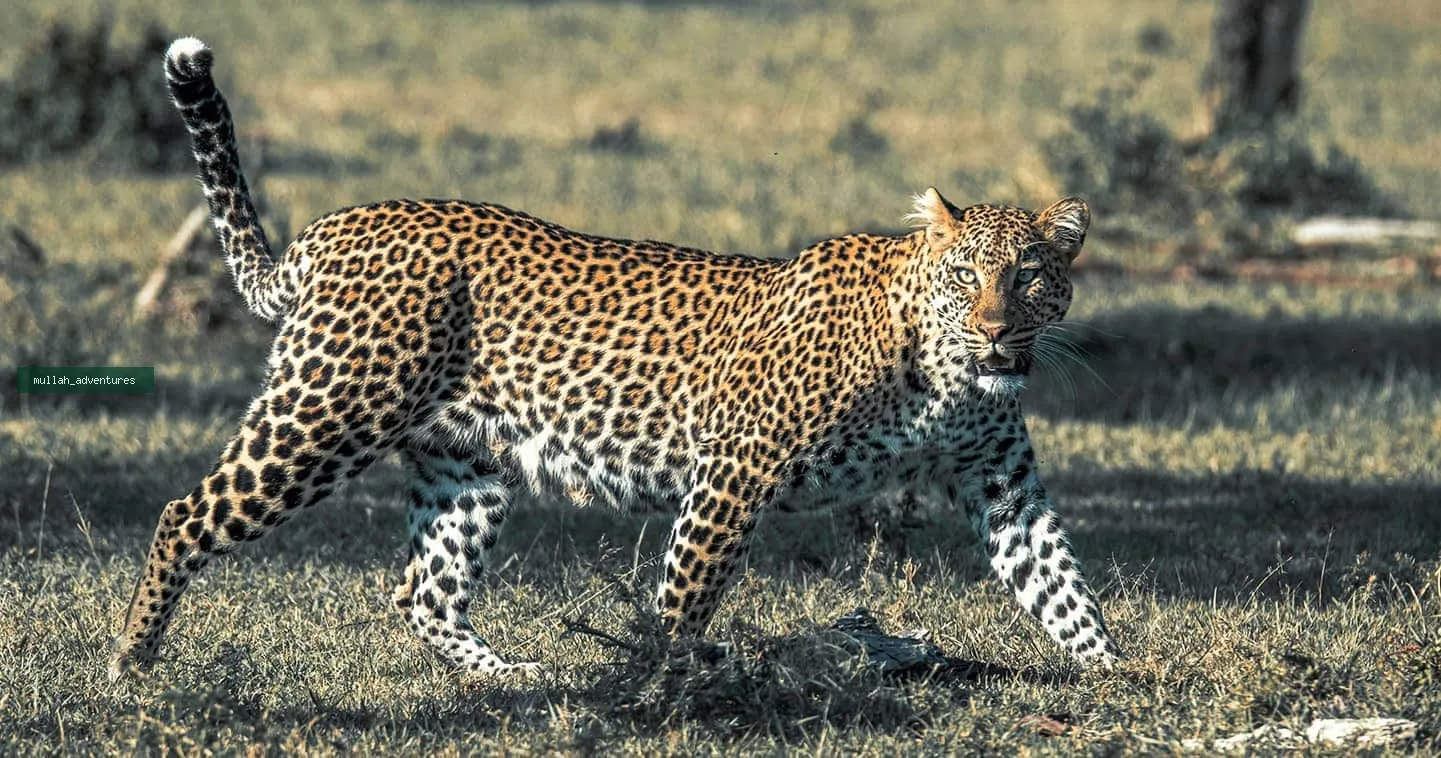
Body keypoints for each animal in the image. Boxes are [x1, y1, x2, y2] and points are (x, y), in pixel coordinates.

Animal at [109, 37, 1122, 682]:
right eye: (964, 276)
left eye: (1029, 278)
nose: (994, 331)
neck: (947, 381)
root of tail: (335, 226)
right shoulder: (736, 467)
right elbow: (686, 593)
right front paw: (654, 685)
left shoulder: (1000, 481)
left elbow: (1061, 585)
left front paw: (1123, 677)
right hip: (327, 415)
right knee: (185, 514)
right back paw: (133, 660)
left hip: (464, 463)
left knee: (423, 591)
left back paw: (508, 677)